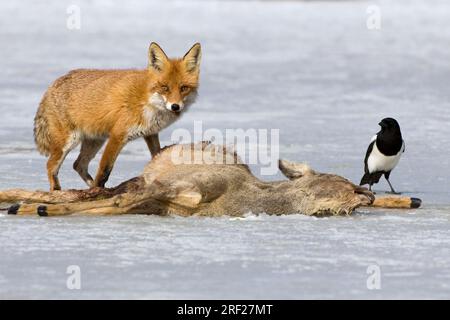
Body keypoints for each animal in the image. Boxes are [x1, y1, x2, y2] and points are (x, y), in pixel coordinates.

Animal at [34, 43, 202, 191]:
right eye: (165, 87)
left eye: (184, 88)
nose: (175, 106)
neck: (147, 100)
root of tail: (52, 85)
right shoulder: (117, 135)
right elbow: (104, 170)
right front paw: (97, 193)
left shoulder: (150, 133)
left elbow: (156, 155)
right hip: (69, 141)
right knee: (50, 165)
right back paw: (57, 190)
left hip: (95, 141)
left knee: (78, 164)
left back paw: (89, 186)